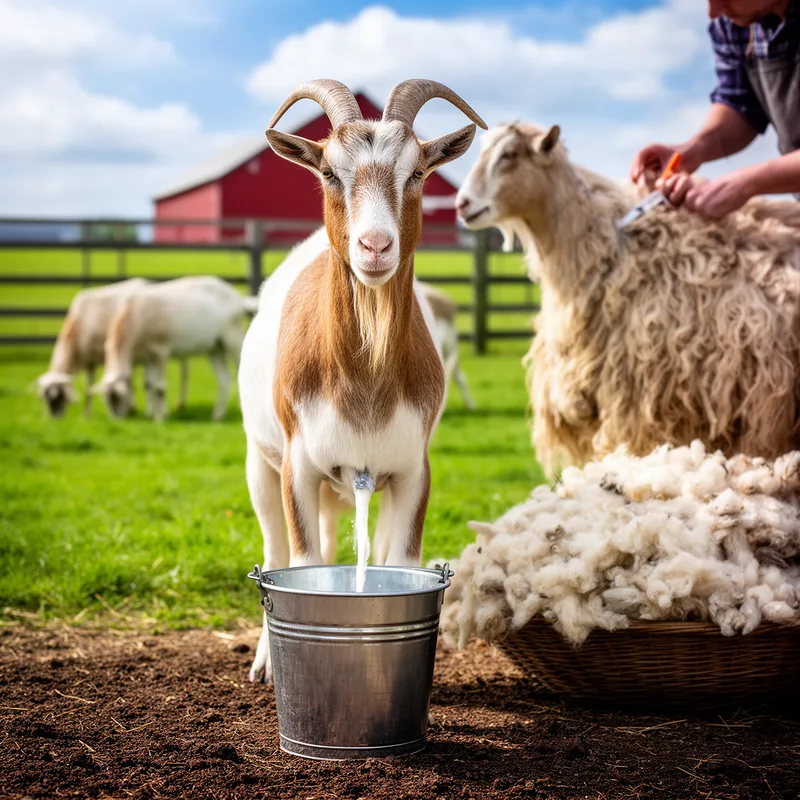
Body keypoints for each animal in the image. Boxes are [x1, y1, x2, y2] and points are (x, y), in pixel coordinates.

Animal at [37, 278, 150, 417]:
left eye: (56, 396)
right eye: (44, 397)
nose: (53, 417)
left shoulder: (90, 360)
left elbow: (88, 388)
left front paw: (86, 414)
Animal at [93, 276, 256, 421]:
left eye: (118, 397)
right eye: (106, 400)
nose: (116, 420)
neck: (134, 318)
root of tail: (237, 298)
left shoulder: (161, 351)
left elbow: (160, 387)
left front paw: (159, 419)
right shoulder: (149, 357)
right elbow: (149, 385)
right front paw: (152, 414)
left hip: (233, 337)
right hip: (215, 349)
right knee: (224, 380)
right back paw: (217, 416)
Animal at [238, 78, 485, 682]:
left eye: (417, 172)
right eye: (330, 171)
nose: (375, 247)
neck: (364, 384)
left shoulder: (411, 470)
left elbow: (400, 560)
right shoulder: (298, 465)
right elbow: (300, 560)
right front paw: (275, 662)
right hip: (260, 461)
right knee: (276, 548)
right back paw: (262, 660)